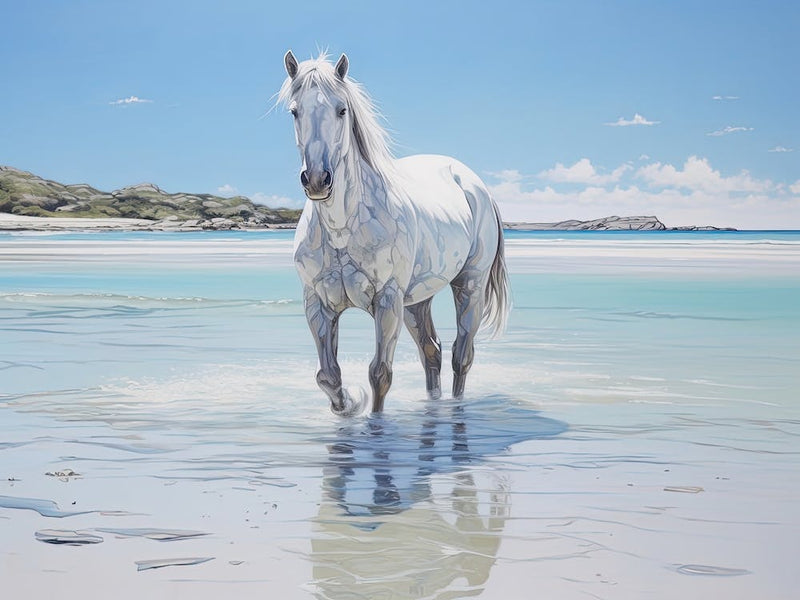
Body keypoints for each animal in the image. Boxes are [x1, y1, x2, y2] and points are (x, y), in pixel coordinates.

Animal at [279, 51, 510, 415]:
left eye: (341, 109)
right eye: (294, 111)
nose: (317, 180)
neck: (343, 229)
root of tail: (473, 183)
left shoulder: (387, 301)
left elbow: (380, 374)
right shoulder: (317, 304)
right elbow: (328, 376)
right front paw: (348, 406)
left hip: (468, 286)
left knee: (461, 355)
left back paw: (456, 406)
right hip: (416, 302)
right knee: (433, 352)